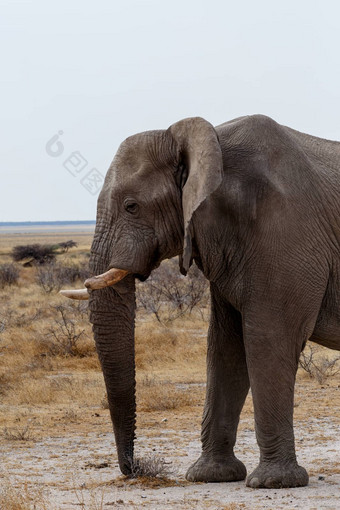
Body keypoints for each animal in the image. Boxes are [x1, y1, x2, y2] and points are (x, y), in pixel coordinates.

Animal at [61, 115, 340, 490]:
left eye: (131, 206)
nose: (134, 468)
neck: (211, 145)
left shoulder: (286, 233)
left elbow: (269, 340)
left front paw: (274, 482)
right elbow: (225, 348)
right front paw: (210, 476)